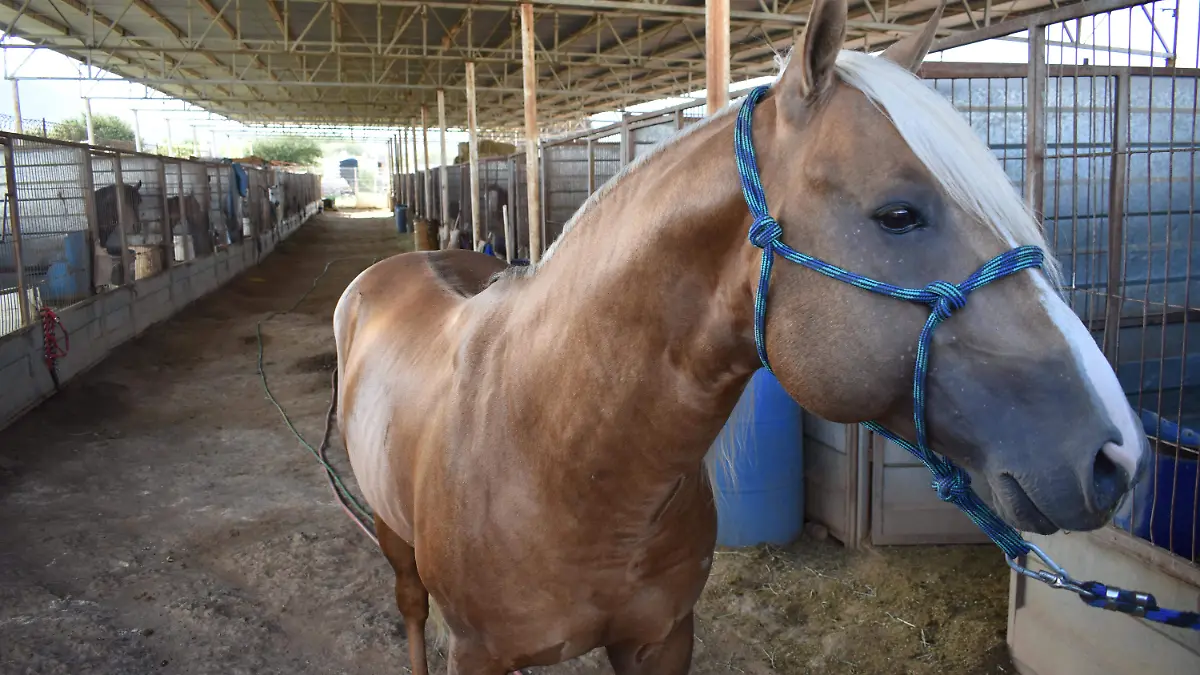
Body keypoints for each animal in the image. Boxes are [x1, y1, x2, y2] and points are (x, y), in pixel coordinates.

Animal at [332, 2, 1149, 673]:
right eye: (897, 215)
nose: (1118, 455)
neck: (557, 454)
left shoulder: (661, 641)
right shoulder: (478, 654)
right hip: (393, 540)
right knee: (410, 610)